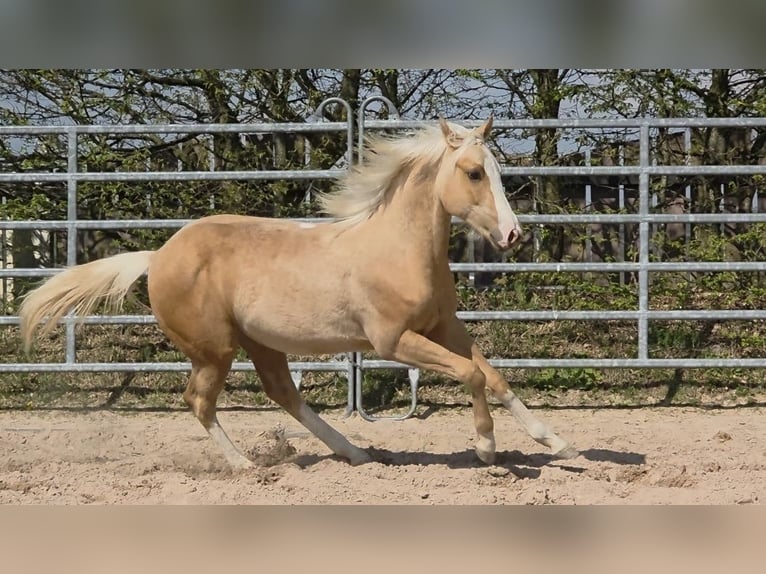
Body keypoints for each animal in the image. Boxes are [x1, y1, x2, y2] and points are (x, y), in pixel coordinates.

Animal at [19, 117, 578, 469]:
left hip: (262, 344)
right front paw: (486, 448)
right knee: (200, 400)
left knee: (283, 394)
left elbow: (493, 375)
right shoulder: (393, 341)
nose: (512, 234)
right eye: (473, 172)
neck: (398, 249)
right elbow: (470, 374)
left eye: (498, 171)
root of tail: (157, 257)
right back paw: (246, 466)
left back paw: (357, 454)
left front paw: (559, 443)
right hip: (215, 350)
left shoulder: (443, 326)